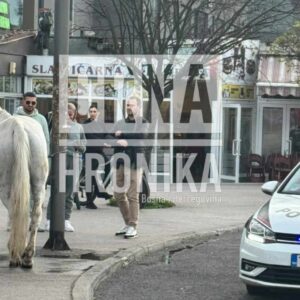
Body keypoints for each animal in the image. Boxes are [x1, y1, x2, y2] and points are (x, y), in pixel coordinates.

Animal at [0, 107, 47, 268]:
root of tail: (18, 126)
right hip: (39, 182)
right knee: (35, 213)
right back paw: (27, 255)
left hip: (5, 185)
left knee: (15, 211)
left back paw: (15, 255)